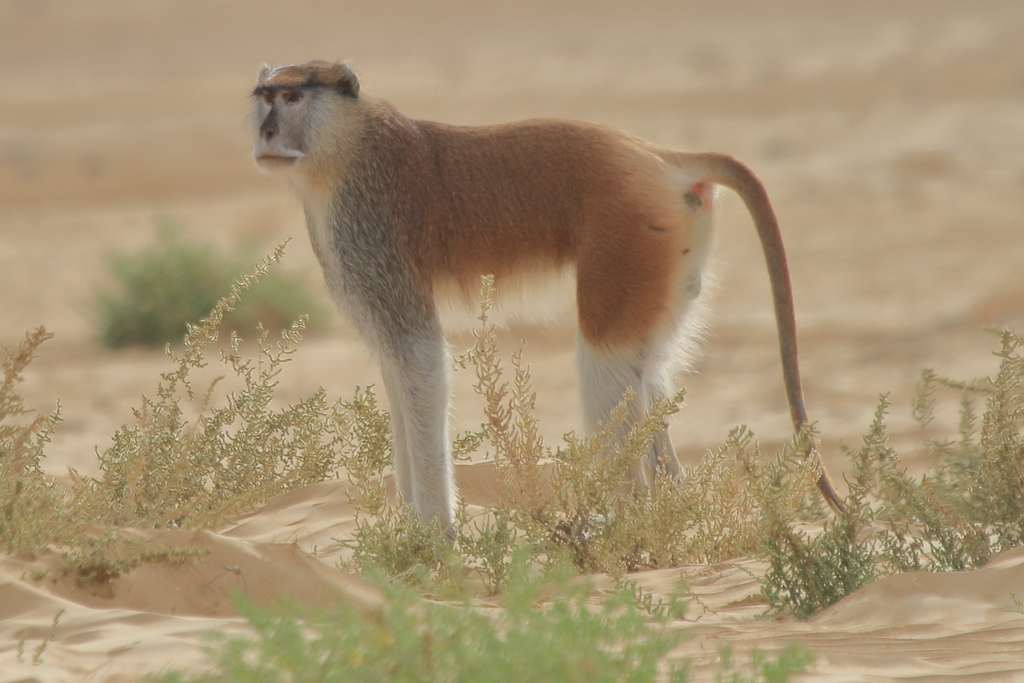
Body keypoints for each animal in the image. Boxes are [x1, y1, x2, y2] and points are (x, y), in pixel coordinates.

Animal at [250, 60, 845, 531]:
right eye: (265, 97)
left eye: (293, 98)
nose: (267, 130)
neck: (349, 145)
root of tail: (659, 156)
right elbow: (395, 366)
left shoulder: (371, 231)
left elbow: (419, 357)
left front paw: (435, 540)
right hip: (669, 244)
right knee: (646, 370)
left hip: (629, 233)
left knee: (604, 361)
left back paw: (622, 523)